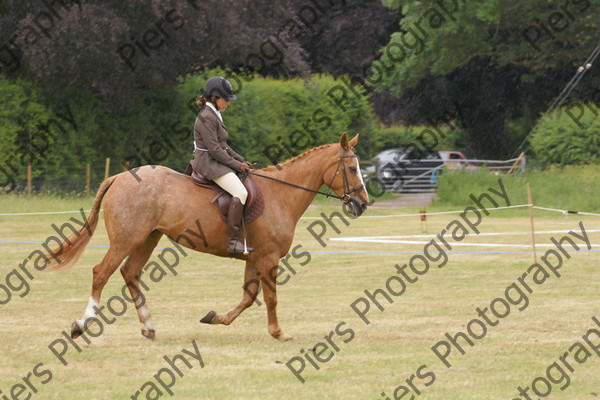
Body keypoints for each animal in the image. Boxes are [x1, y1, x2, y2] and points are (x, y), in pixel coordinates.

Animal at [44, 133, 368, 340]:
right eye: (352, 168)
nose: (362, 205)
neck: (281, 194)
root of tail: (119, 177)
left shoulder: (254, 257)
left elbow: (249, 297)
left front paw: (214, 318)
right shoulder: (269, 258)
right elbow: (270, 297)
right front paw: (279, 333)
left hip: (148, 238)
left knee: (130, 273)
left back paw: (148, 326)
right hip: (127, 239)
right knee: (101, 272)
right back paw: (82, 324)